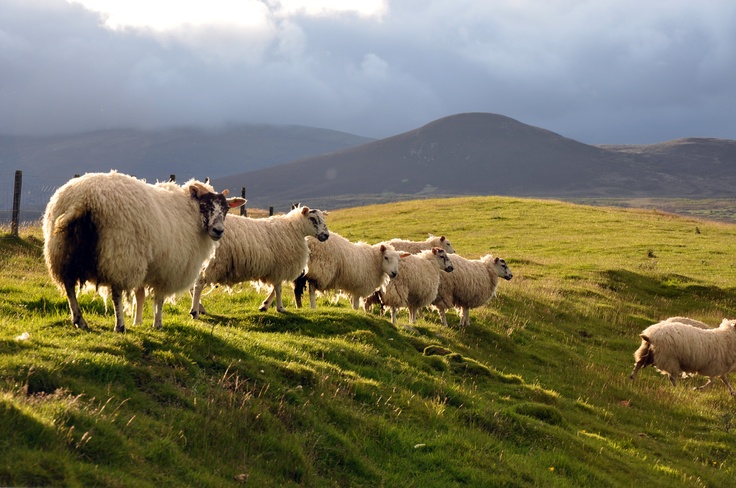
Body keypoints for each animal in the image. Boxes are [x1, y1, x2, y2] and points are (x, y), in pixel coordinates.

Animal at [43, 171, 244, 332]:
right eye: (205, 206)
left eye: (226, 209)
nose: (218, 231)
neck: (190, 212)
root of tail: (83, 199)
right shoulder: (168, 268)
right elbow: (159, 298)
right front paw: (158, 324)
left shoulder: (151, 264)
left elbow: (140, 295)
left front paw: (138, 322)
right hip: (121, 253)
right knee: (116, 293)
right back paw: (119, 325)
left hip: (62, 251)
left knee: (69, 286)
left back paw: (79, 320)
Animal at [189, 206, 329, 316]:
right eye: (313, 219)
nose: (326, 235)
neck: (294, 229)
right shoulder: (280, 266)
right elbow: (278, 289)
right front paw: (280, 308)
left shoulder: (275, 269)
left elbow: (275, 288)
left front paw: (265, 305)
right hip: (214, 262)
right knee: (198, 285)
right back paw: (195, 312)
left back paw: (200, 308)